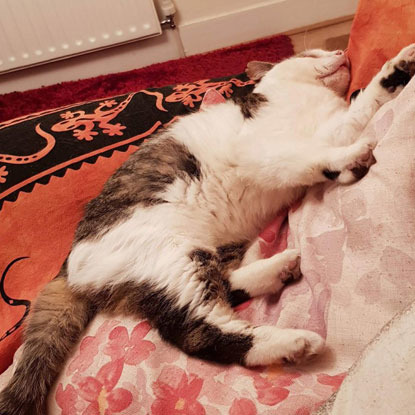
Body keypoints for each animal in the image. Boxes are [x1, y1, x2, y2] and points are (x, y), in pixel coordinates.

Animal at [2, 44, 415, 414]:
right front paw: (347, 158)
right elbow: (312, 153)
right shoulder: (266, 150)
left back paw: (275, 270)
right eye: (310, 55)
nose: (340, 54)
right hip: (169, 254)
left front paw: (398, 72)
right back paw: (289, 342)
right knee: (198, 329)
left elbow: (359, 111)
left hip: (197, 253)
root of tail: (68, 265)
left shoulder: (328, 127)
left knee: (223, 285)